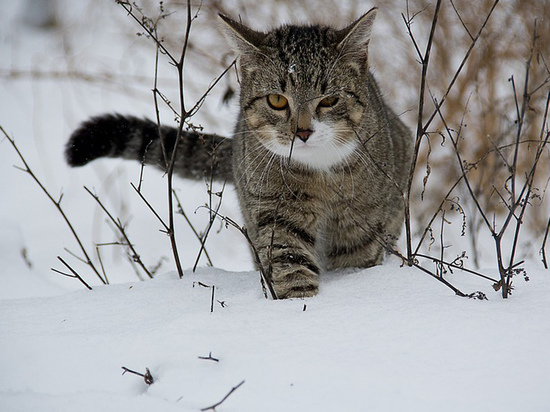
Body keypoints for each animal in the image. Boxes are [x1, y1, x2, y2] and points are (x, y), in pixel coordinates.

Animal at [67, 8, 414, 300]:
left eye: (329, 100)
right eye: (277, 100)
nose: (302, 132)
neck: (319, 172)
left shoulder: (362, 222)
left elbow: (356, 259)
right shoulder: (274, 210)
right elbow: (289, 261)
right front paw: (300, 305)